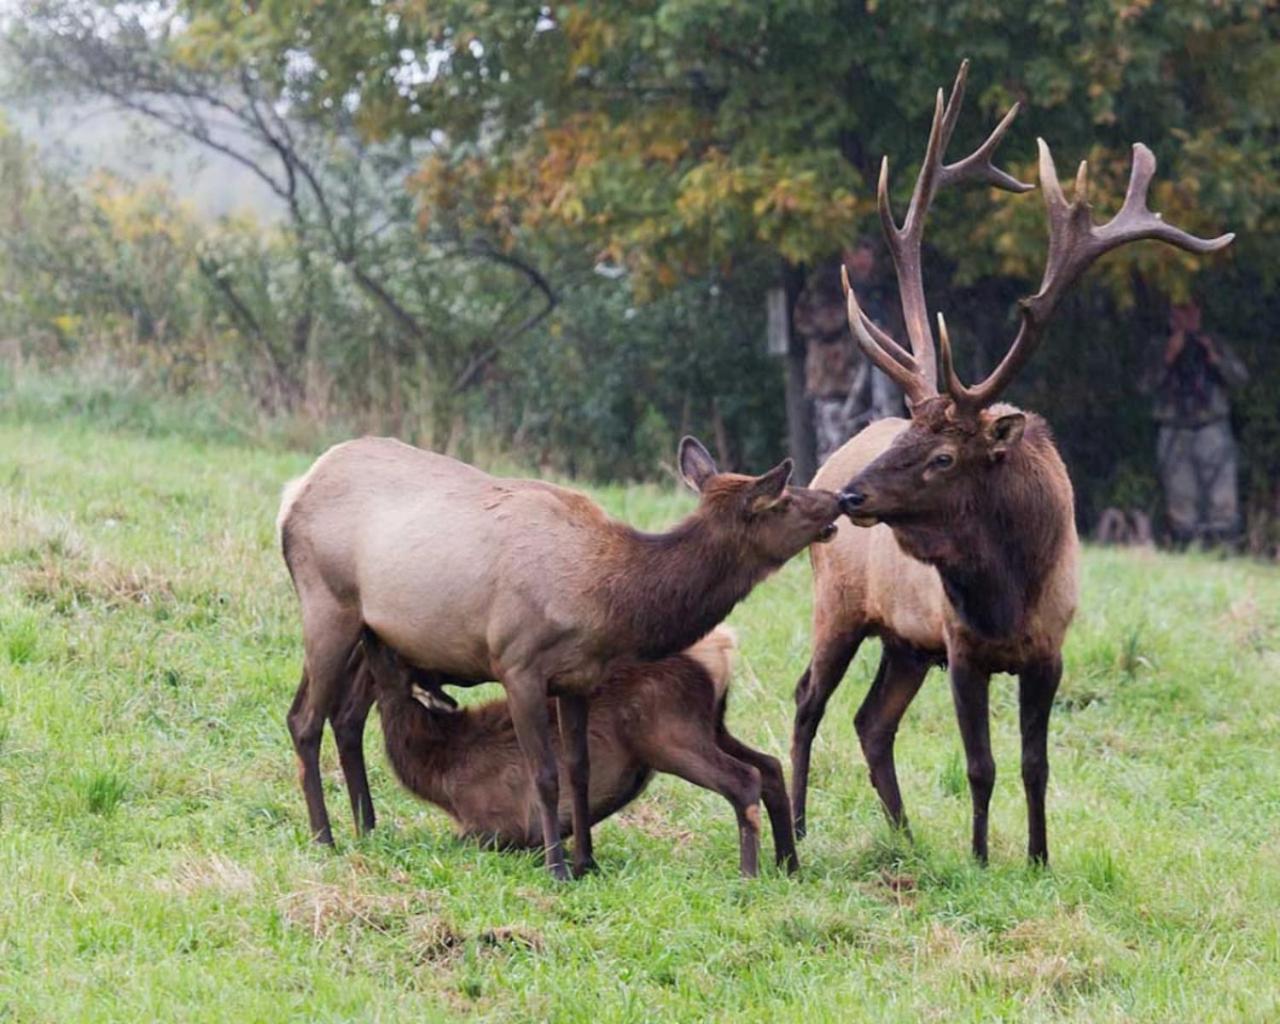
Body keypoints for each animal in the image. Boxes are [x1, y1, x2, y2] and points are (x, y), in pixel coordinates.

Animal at [345, 619, 793, 875]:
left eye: (390, 652)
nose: (365, 628)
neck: (442, 776)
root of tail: (722, 648)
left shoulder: (497, 825)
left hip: (668, 732)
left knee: (744, 778)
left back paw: (748, 873)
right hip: (712, 725)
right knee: (770, 766)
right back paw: (787, 863)